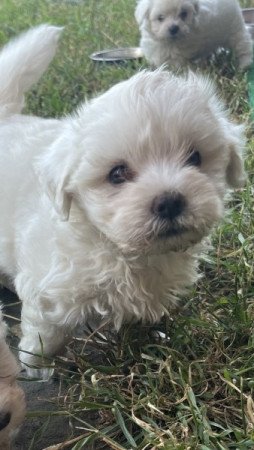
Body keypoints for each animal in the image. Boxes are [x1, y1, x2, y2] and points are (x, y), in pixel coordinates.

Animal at [0, 23, 246, 376]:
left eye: (195, 157)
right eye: (117, 174)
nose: (170, 201)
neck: (121, 250)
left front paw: (153, 338)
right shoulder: (49, 289)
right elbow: (44, 332)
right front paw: (37, 367)